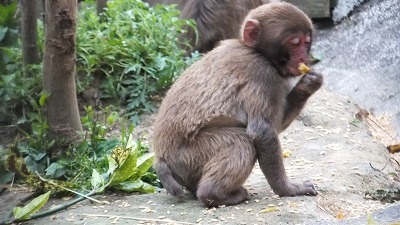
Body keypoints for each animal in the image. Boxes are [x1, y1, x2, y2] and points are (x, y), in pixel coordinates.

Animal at [152, 2, 322, 207]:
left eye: (306, 42)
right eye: (295, 43)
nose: (304, 58)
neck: (256, 52)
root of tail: (162, 159)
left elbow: (275, 126)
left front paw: (308, 85)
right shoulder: (262, 74)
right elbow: (262, 132)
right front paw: (288, 189)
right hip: (188, 156)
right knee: (241, 142)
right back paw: (213, 195)